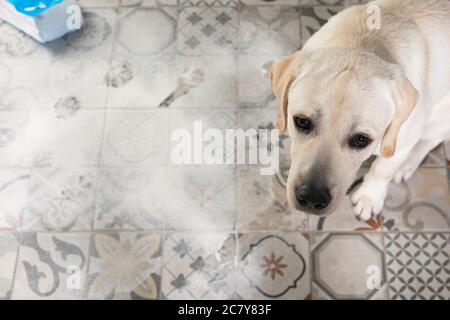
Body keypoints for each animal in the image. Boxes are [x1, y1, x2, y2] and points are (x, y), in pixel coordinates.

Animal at [270, 0, 450, 220]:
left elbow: (382, 169)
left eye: (361, 140)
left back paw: (406, 165)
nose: (312, 199)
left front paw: (369, 197)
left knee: (430, 141)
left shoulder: (401, 141)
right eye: (302, 121)